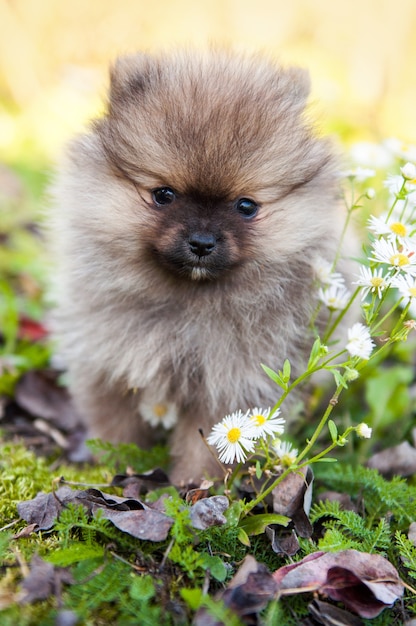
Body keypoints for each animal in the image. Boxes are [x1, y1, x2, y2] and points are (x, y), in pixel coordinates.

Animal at [50, 50, 346, 482]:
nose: (203, 242)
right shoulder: (108, 358)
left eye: (246, 206)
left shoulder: (231, 379)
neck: (187, 300)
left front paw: (192, 484)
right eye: (163, 195)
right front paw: (115, 465)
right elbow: (116, 422)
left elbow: (211, 441)